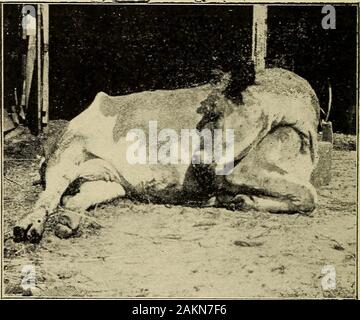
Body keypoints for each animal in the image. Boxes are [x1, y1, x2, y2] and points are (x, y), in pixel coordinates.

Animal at [12, 67, 320, 242]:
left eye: (215, 113)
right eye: (205, 114)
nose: (199, 163)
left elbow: (306, 196)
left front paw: (238, 200)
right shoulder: (238, 170)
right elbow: (310, 195)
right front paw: (237, 199)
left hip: (108, 181)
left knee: (72, 199)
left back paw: (68, 224)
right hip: (69, 150)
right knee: (48, 196)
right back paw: (28, 227)